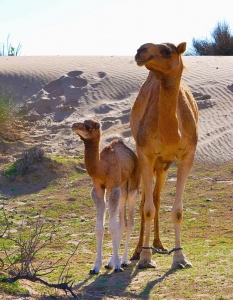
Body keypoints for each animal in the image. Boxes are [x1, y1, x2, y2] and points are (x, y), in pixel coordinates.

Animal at [71, 118, 140, 274]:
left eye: (89, 126)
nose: (73, 125)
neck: (102, 167)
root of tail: (133, 154)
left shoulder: (112, 187)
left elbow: (112, 226)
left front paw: (117, 266)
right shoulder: (98, 189)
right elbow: (99, 228)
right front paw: (96, 266)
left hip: (133, 183)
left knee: (130, 221)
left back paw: (124, 260)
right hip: (122, 187)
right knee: (123, 221)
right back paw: (112, 262)